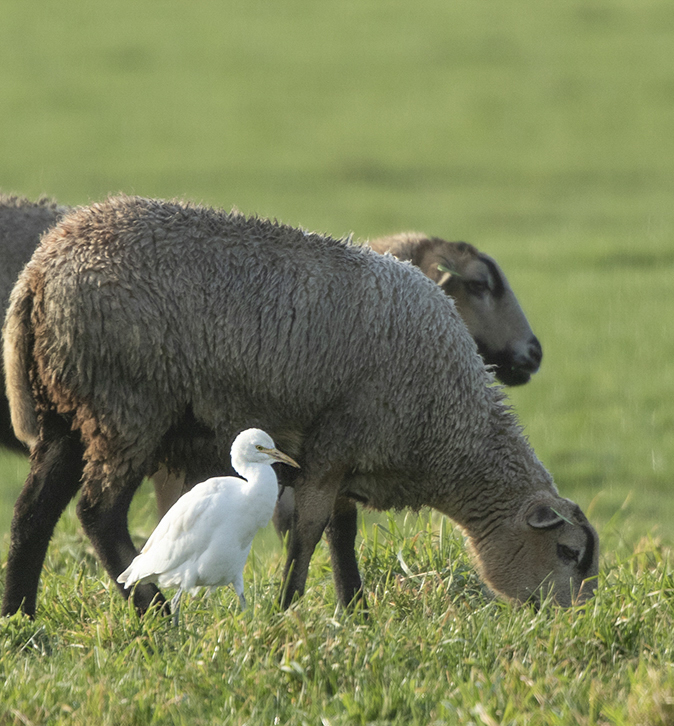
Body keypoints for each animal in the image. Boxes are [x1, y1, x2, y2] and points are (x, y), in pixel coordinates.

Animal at [2, 198, 596, 620]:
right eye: (567, 552)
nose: (577, 622)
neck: (447, 425)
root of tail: (39, 274)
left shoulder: (348, 458)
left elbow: (342, 537)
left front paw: (355, 612)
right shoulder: (332, 449)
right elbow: (307, 536)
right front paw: (286, 611)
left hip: (68, 412)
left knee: (33, 513)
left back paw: (20, 619)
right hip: (127, 405)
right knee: (97, 514)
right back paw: (153, 612)